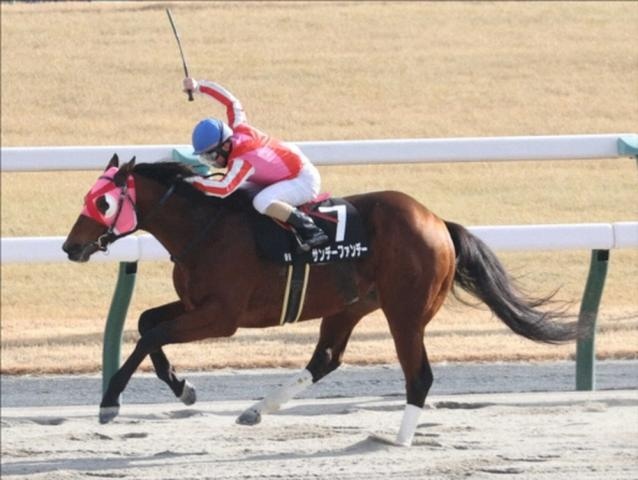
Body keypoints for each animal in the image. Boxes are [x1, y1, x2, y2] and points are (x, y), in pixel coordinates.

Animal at [61, 156, 580, 448]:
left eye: (102, 202)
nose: (70, 246)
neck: (204, 229)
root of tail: (437, 222)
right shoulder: (194, 304)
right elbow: (147, 322)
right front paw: (182, 386)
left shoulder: (221, 316)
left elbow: (152, 334)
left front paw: (111, 402)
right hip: (349, 305)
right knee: (326, 358)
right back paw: (256, 410)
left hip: (405, 312)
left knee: (419, 376)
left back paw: (399, 440)